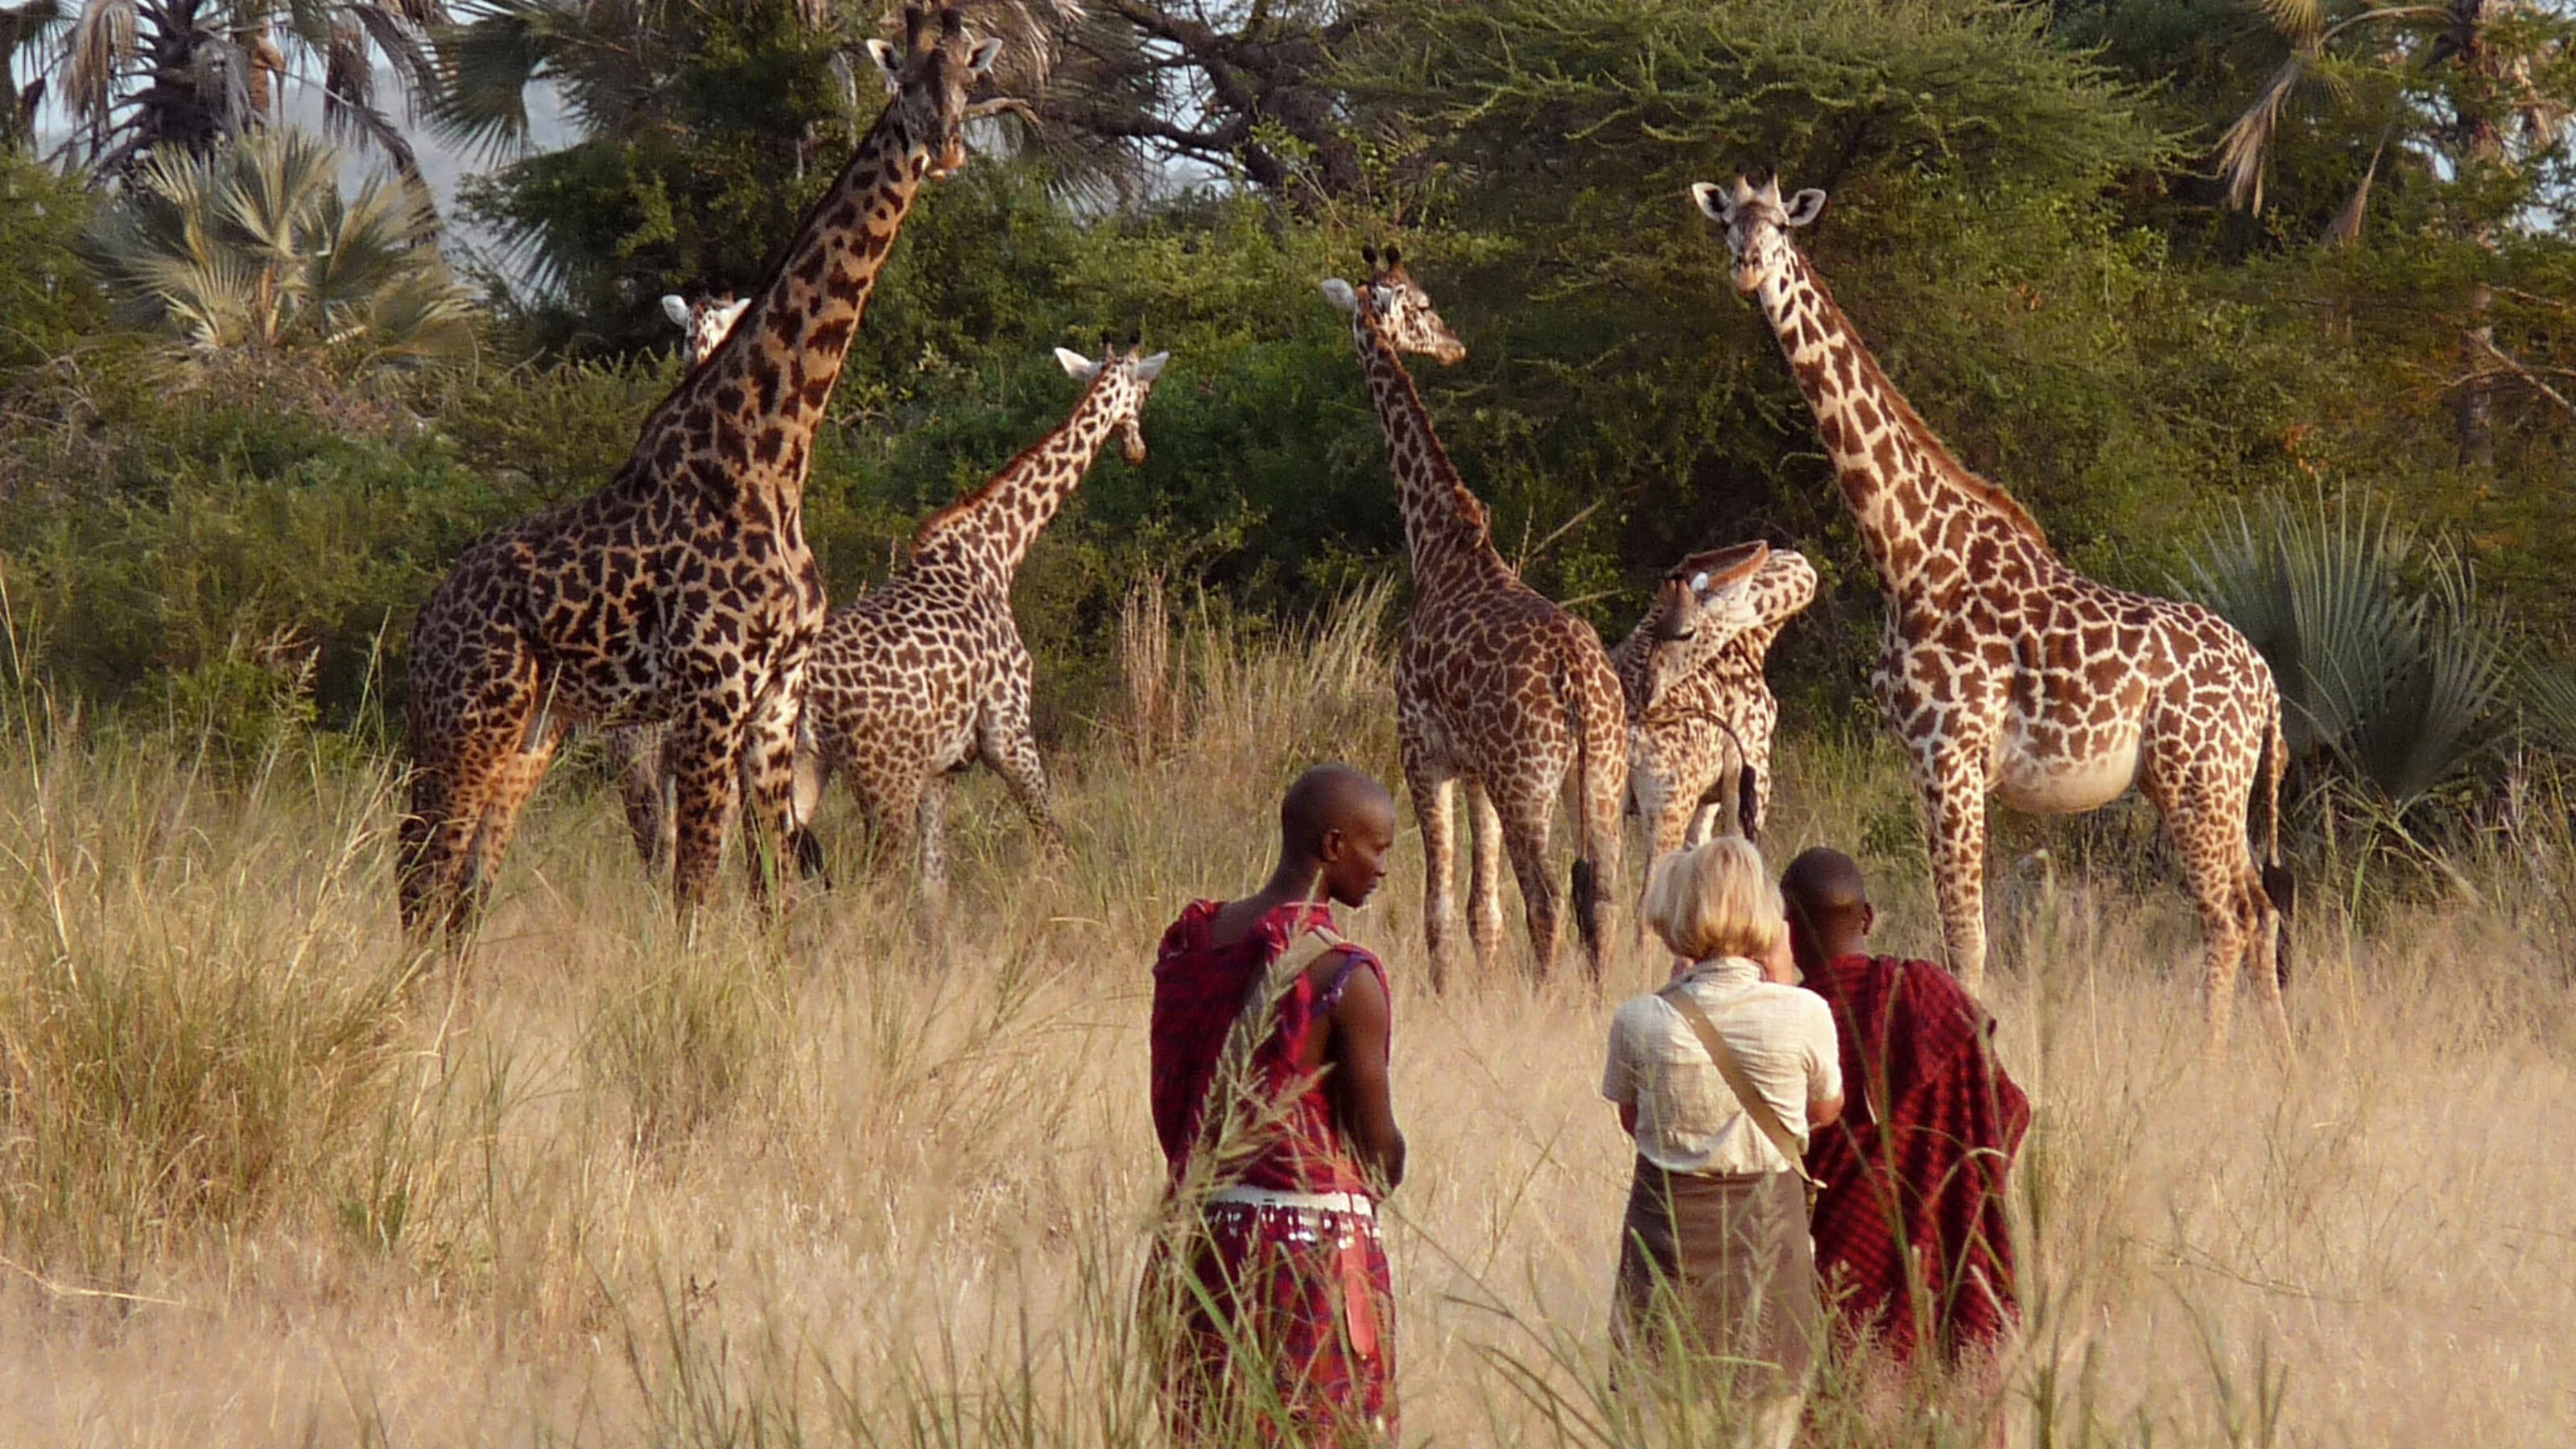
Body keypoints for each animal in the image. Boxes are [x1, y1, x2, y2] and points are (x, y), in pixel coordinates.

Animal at [397, 6, 1003, 937]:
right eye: (903, 83)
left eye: (970, 80)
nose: (944, 149)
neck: (772, 456)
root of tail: (427, 619)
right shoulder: (712, 694)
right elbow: (694, 892)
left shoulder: (775, 702)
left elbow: (772, 897)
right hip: (468, 721)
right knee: (419, 882)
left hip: (533, 733)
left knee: (462, 893)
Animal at [797, 341, 1169, 909]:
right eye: (1145, 392)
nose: (1138, 451)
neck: (996, 551)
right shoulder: (1008, 732)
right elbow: (1053, 840)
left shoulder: (942, 769)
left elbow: (935, 887)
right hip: (883, 777)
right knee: (869, 885)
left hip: (796, 766)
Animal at [1321, 246, 1630, 986]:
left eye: (1423, 302)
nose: (1455, 345)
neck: (1437, 544)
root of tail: (1578, 682)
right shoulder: (1475, 770)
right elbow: (1481, 914)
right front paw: (1481, 990)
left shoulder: (1422, 750)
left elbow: (1439, 907)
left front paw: (1443, 993)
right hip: (1598, 777)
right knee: (1602, 894)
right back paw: (1596, 995)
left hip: (1528, 782)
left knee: (1547, 897)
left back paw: (1544, 998)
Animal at [1611, 542, 1818, 862]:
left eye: (1684, 632)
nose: (1643, 690)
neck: (1754, 641)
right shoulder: (1750, 772)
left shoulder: (1708, 800)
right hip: (1669, 806)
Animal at [1692, 176, 2293, 1049]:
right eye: (1729, 227)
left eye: (1781, 230)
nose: (1747, 270)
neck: (1907, 552)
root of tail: (2267, 687)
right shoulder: (1921, 760)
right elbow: (1956, 929)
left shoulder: (1952, 753)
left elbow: (1964, 936)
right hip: (2206, 785)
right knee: (2261, 907)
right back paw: (2281, 1059)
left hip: (2198, 778)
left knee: (2228, 914)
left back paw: (2211, 1056)